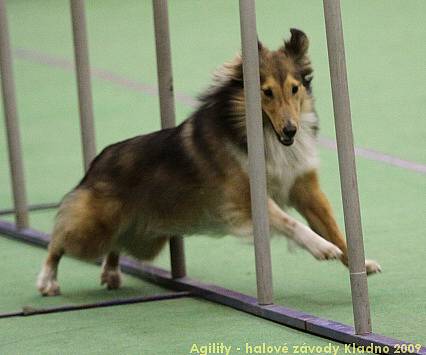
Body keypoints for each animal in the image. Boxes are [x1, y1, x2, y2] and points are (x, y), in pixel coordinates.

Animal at [38, 29, 382, 296]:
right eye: (266, 93)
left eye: (294, 89)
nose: (290, 130)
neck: (263, 136)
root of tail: (98, 160)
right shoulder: (245, 198)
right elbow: (291, 223)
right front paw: (321, 247)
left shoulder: (303, 188)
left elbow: (335, 227)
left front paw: (358, 262)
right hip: (93, 230)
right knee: (59, 238)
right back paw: (47, 281)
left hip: (143, 239)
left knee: (115, 245)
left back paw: (110, 273)